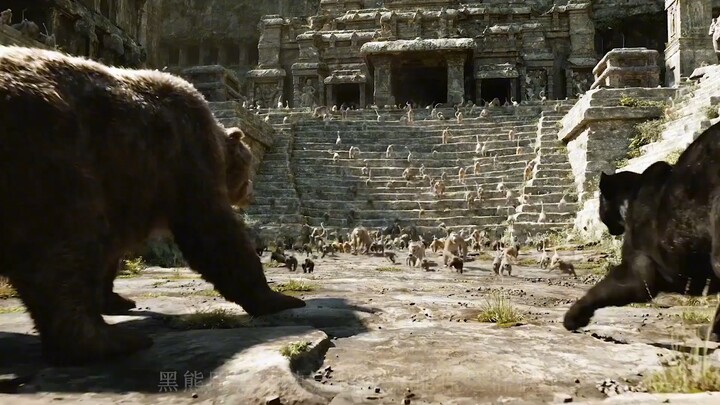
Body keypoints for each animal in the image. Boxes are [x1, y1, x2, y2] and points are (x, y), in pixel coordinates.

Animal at [0, 45, 305, 366]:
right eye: (247, 165)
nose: (250, 192)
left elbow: (112, 250)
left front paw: (116, 298)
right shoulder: (182, 155)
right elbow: (211, 229)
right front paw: (278, 298)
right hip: (47, 151)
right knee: (61, 247)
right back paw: (108, 339)